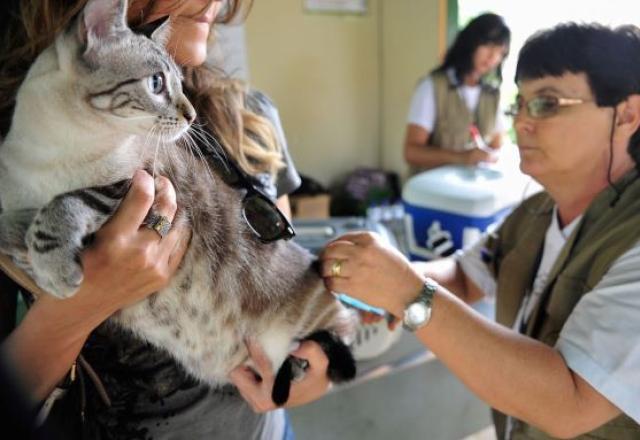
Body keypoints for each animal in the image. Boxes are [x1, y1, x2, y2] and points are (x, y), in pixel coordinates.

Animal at [0, 0, 356, 402]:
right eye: (156, 83)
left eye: (180, 84)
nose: (192, 115)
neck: (56, 150)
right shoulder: (15, 216)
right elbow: (11, 231)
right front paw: (39, 254)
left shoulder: (141, 184)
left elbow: (65, 202)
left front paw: (56, 268)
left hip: (317, 329)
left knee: (337, 343)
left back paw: (298, 365)